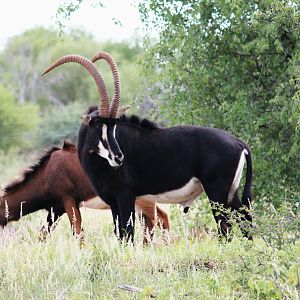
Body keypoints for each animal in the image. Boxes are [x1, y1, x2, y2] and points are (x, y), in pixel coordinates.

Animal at [0, 141, 169, 244]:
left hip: (142, 199)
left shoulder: (69, 201)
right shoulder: (56, 209)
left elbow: (78, 233)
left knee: (159, 219)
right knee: (152, 222)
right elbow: (43, 234)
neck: (47, 172)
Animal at [42, 52, 253, 243]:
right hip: (231, 192)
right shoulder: (112, 201)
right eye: (98, 125)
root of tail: (239, 143)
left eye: (114, 126)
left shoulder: (126, 196)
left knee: (225, 226)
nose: (119, 157)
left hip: (217, 193)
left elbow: (127, 233)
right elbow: (119, 234)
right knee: (245, 220)